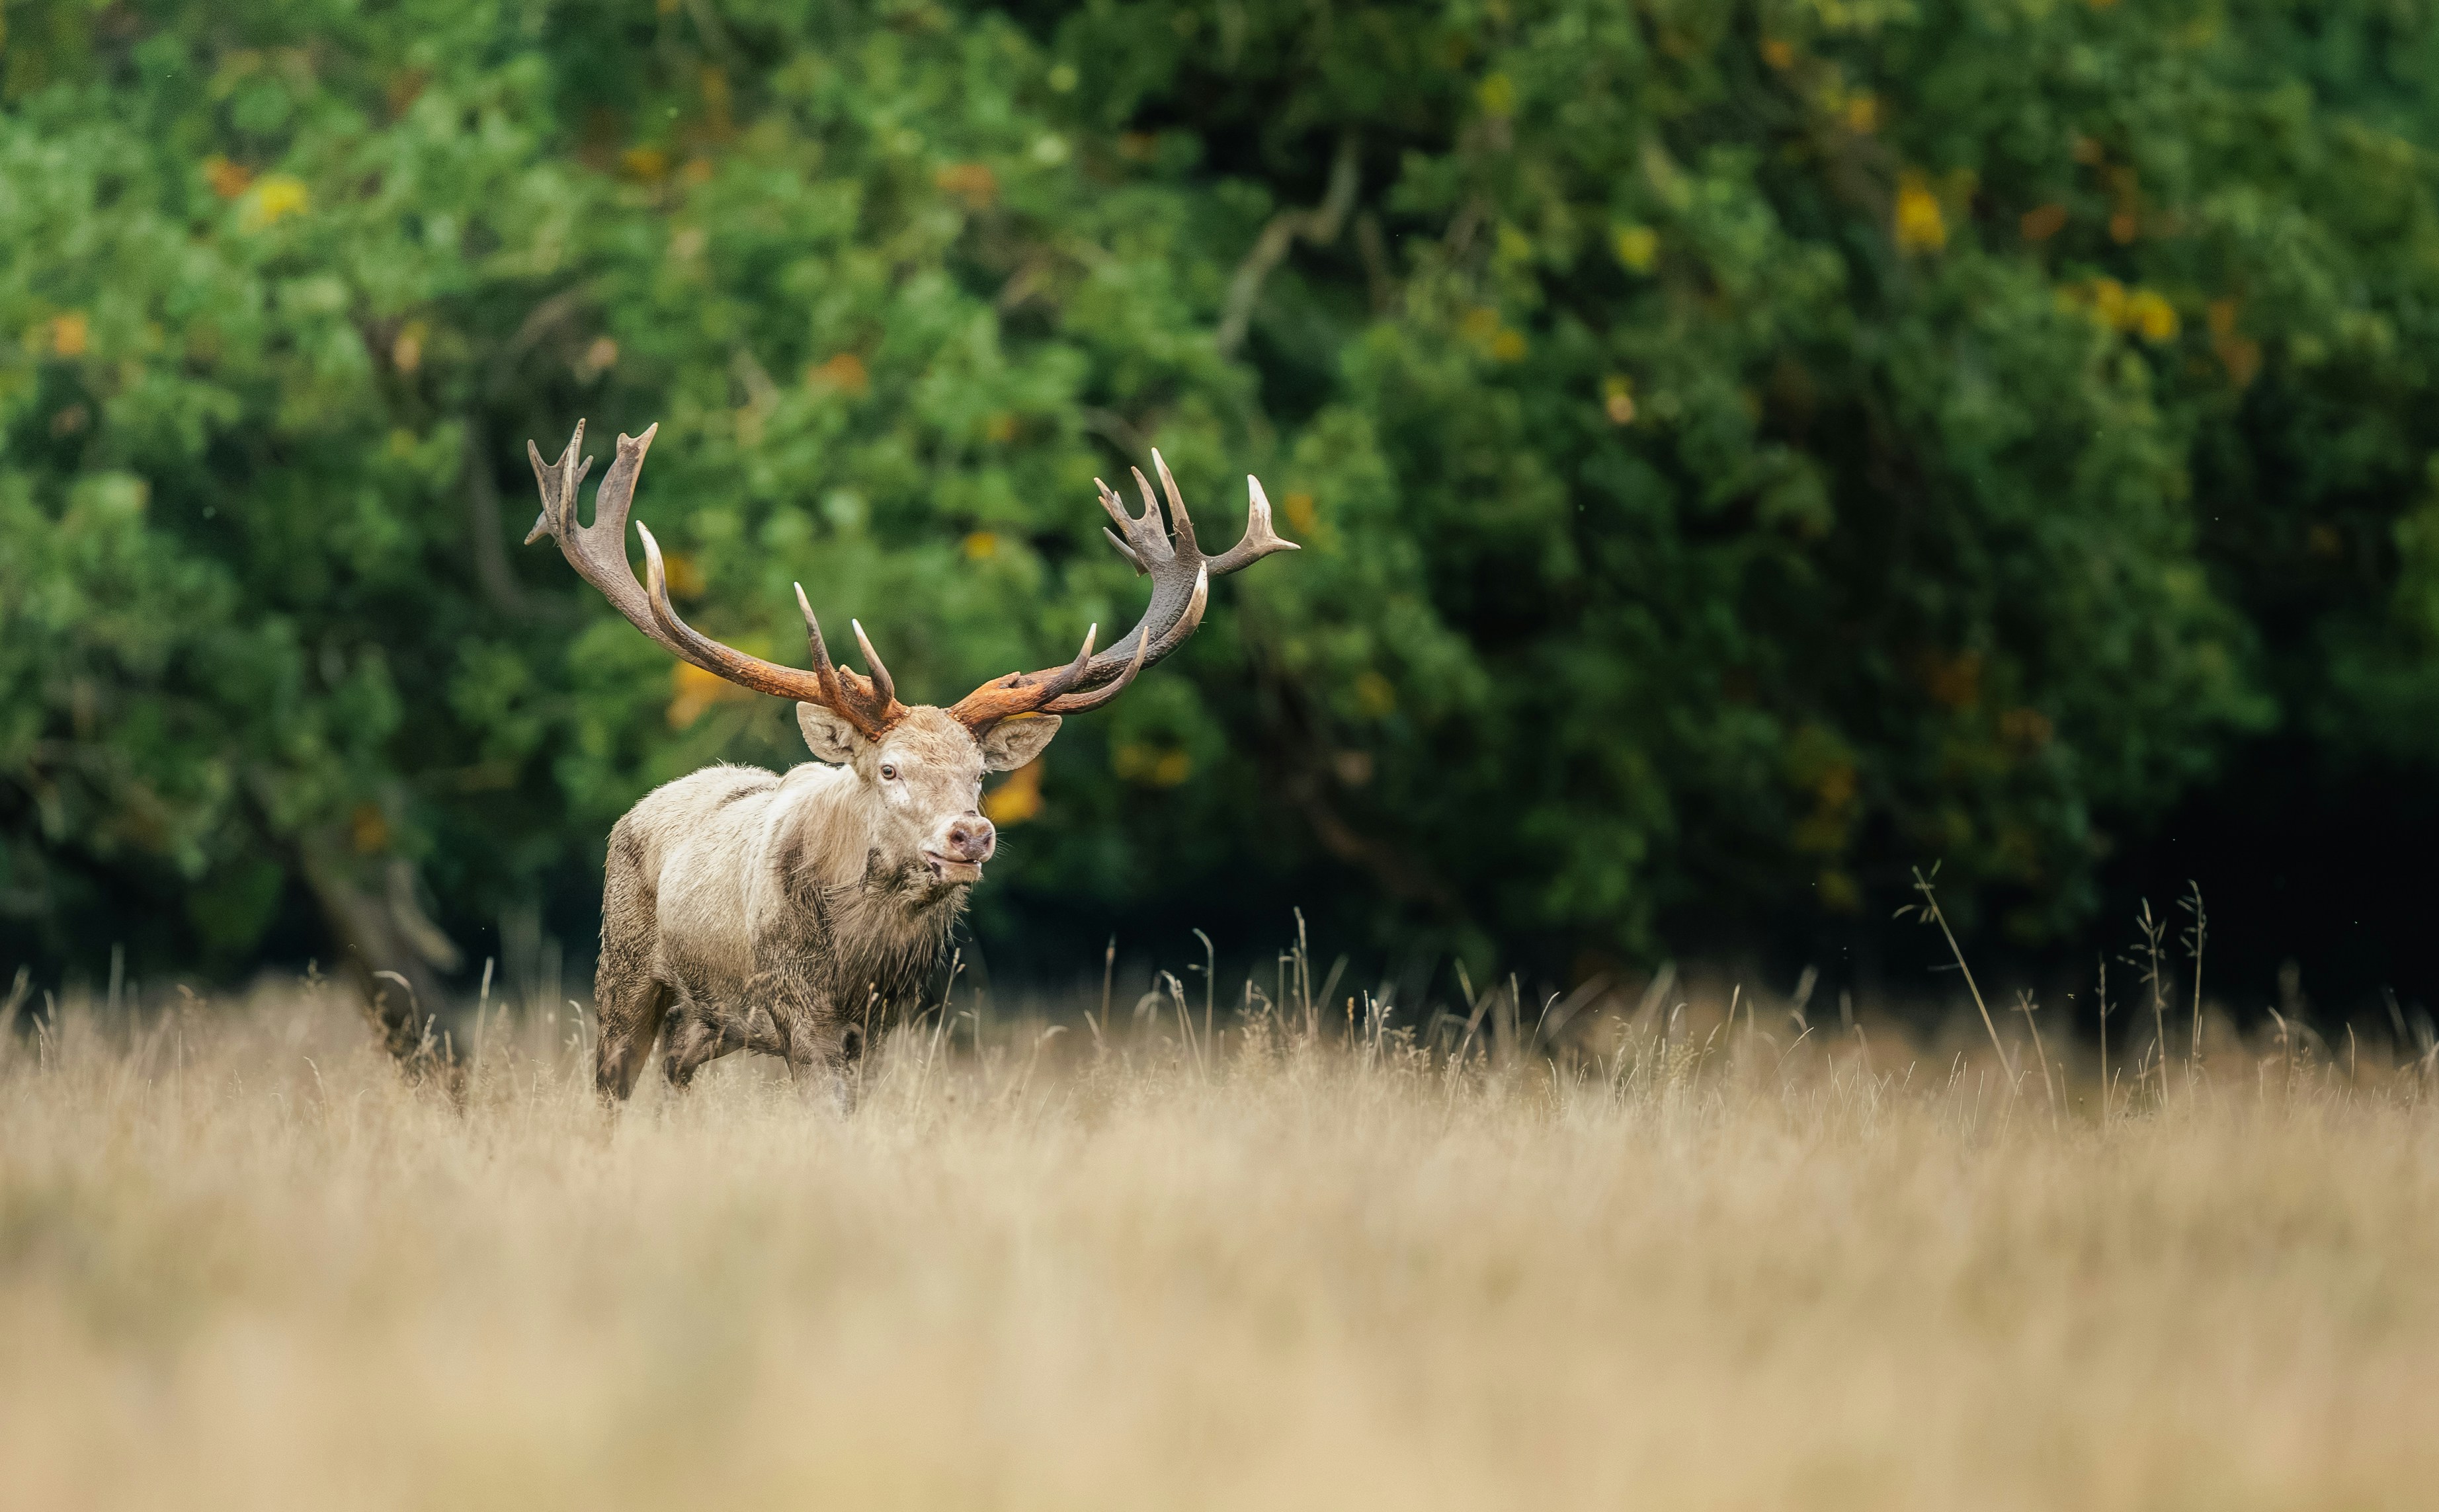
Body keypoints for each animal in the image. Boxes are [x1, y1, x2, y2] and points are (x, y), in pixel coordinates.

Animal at [521, 421, 1297, 1106]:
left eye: (980, 774)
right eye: (889, 770)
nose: (970, 834)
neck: (860, 962)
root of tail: (639, 809)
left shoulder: (893, 1023)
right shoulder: (797, 1008)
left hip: (711, 1020)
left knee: (674, 1069)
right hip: (623, 967)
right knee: (613, 1083)